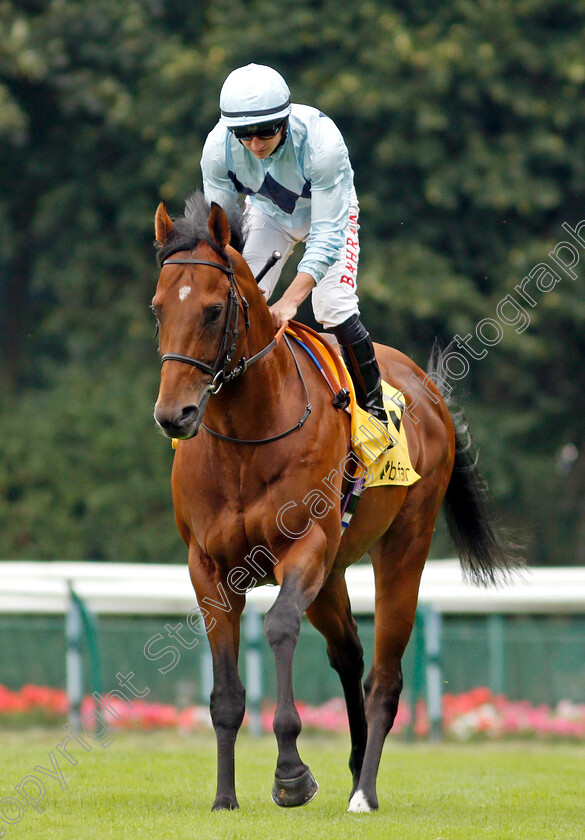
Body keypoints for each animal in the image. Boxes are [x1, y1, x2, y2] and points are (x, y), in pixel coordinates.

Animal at [151, 192, 516, 812]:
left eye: (214, 311)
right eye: (157, 310)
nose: (174, 415)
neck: (247, 436)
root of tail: (428, 389)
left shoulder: (305, 547)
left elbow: (279, 626)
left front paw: (291, 772)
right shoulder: (208, 566)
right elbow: (226, 693)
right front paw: (224, 797)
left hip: (402, 549)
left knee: (384, 677)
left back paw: (363, 793)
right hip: (334, 574)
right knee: (349, 653)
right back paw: (353, 766)